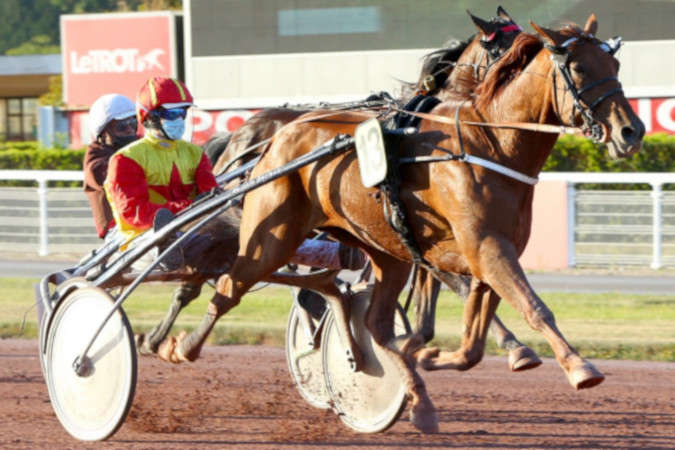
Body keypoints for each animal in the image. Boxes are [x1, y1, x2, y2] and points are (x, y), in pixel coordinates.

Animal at [157, 15, 644, 433]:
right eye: (578, 67)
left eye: (615, 63)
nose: (631, 131)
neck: (488, 143)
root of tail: (276, 136)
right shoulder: (484, 248)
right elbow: (533, 306)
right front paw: (580, 367)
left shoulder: (477, 251)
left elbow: (469, 341)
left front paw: (433, 354)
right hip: (271, 235)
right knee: (227, 286)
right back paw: (174, 345)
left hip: (383, 251)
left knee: (372, 322)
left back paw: (416, 397)